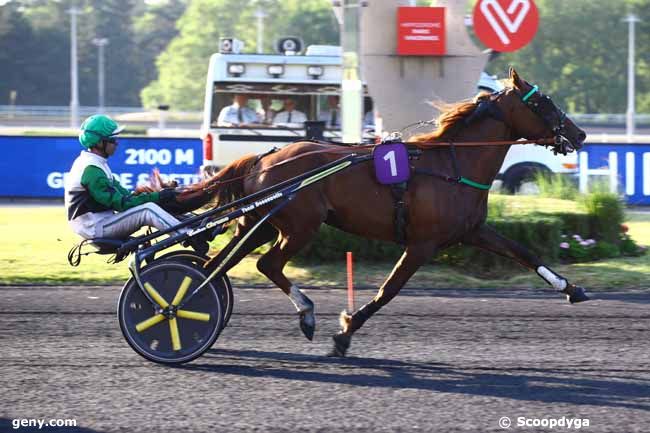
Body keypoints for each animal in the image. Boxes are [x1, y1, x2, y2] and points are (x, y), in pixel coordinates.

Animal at [181, 67, 588, 356]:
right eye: (544, 101)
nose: (580, 134)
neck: (451, 165)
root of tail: (264, 158)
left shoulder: (472, 231)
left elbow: (523, 252)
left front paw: (572, 288)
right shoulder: (422, 243)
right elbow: (388, 290)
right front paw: (345, 332)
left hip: (261, 223)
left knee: (218, 264)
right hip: (301, 226)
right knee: (267, 264)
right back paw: (302, 312)